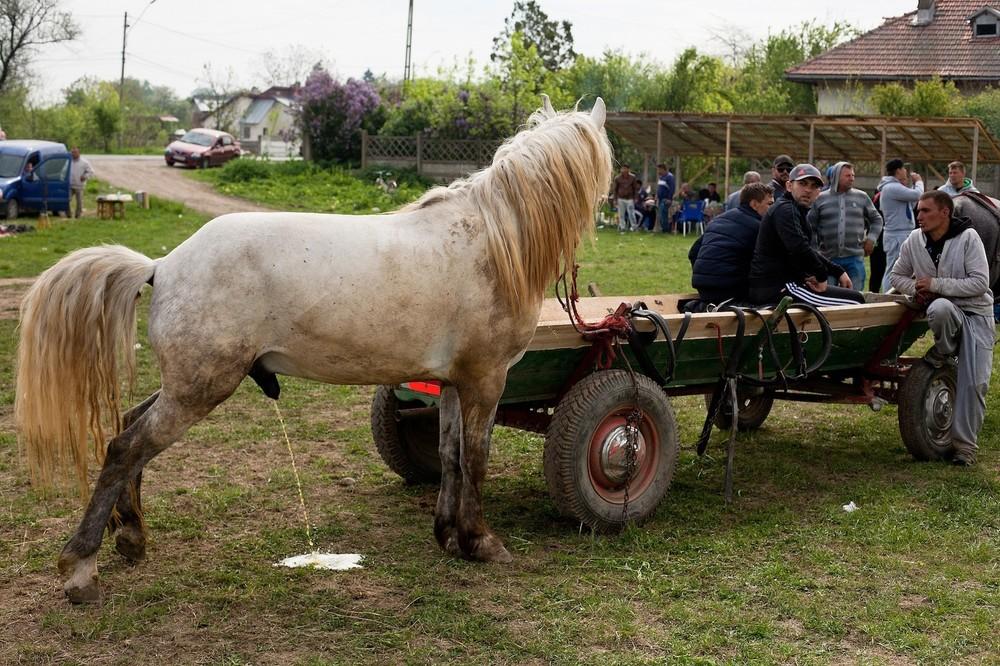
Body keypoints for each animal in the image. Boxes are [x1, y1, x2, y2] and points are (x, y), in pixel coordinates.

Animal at [16, 96, 613, 603]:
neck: (490, 241)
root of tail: (163, 265)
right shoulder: (485, 381)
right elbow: (476, 460)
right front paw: (481, 542)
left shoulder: (449, 384)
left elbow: (449, 458)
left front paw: (448, 535)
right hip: (198, 389)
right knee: (124, 448)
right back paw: (81, 569)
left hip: (184, 385)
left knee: (128, 431)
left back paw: (132, 538)